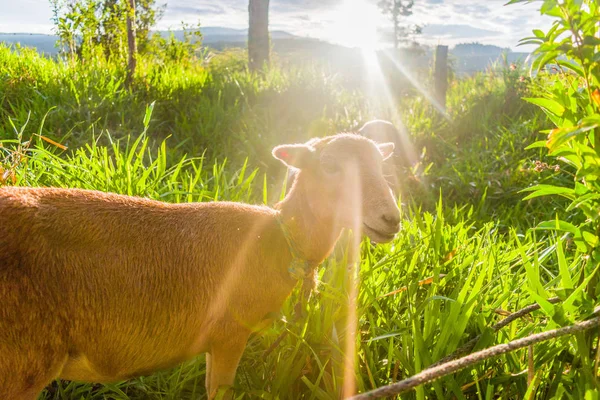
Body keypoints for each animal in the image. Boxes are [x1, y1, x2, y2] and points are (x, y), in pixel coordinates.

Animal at [1, 133, 404, 398]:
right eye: (331, 166)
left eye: (381, 165)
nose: (391, 218)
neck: (276, 241)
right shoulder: (230, 333)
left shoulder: (214, 340)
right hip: (24, 360)